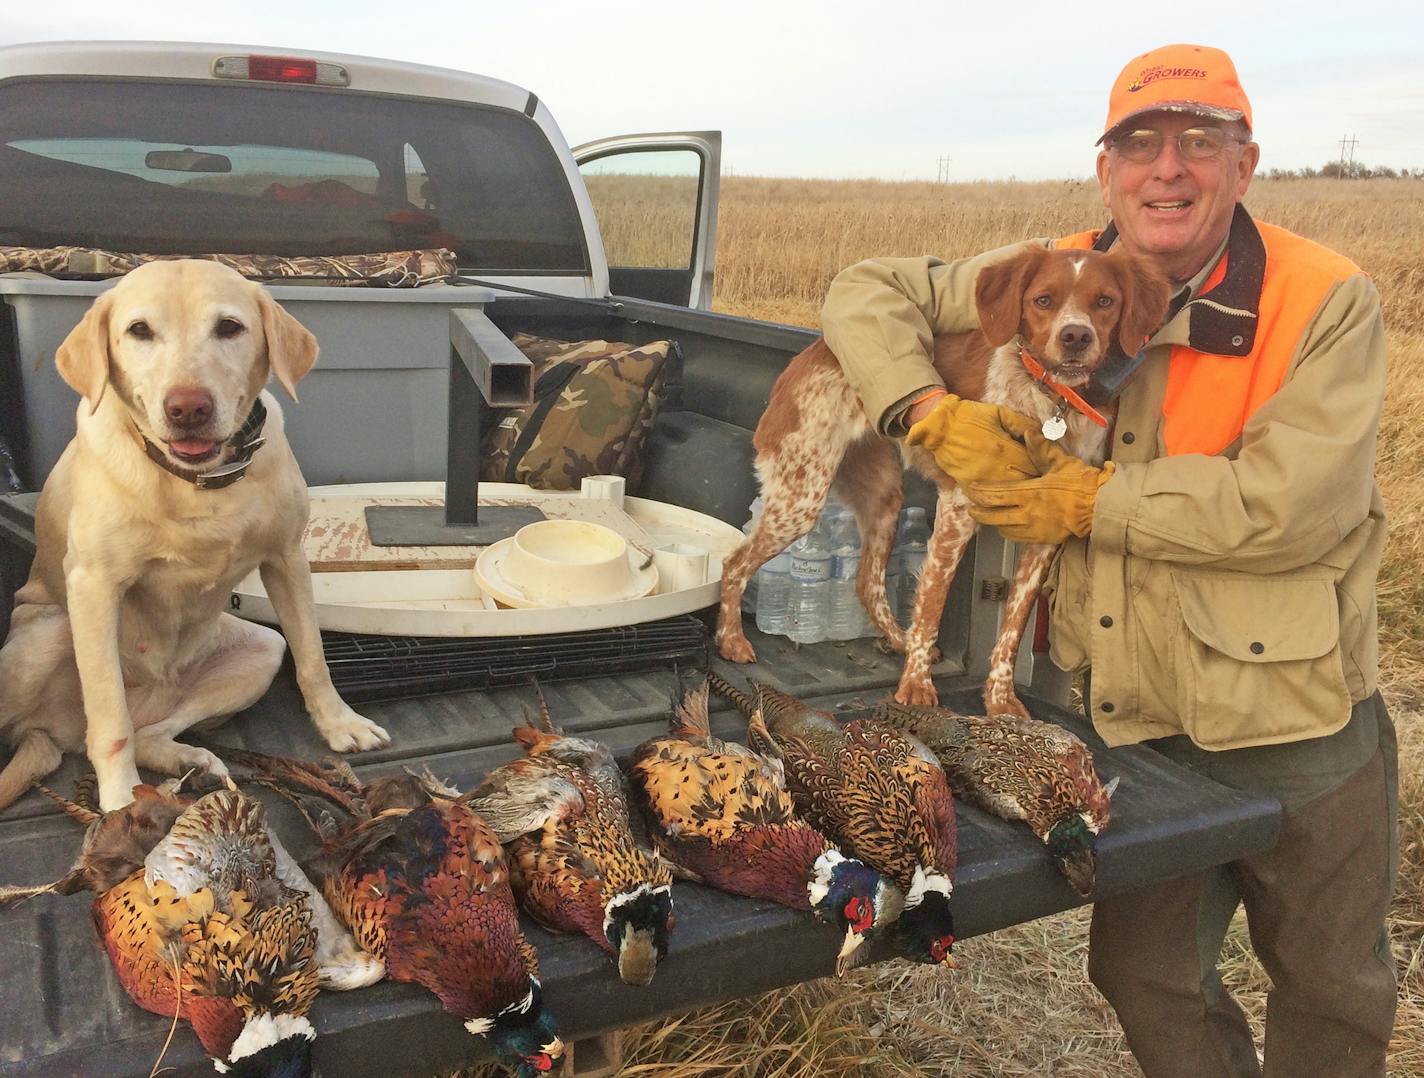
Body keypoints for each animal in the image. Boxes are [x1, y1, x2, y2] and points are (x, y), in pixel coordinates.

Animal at [712, 244, 1167, 714]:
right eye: (1044, 300)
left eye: (1105, 301)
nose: (1076, 337)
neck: (1049, 401)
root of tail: (809, 354)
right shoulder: (958, 511)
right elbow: (932, 604)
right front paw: (915, 687)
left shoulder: (1046, 531)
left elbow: (1012, 628)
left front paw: (1000, 700)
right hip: (801, 496)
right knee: (733, 563)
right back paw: (732, 640)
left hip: (883, 495)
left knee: (866, 583)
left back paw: (899, 639)